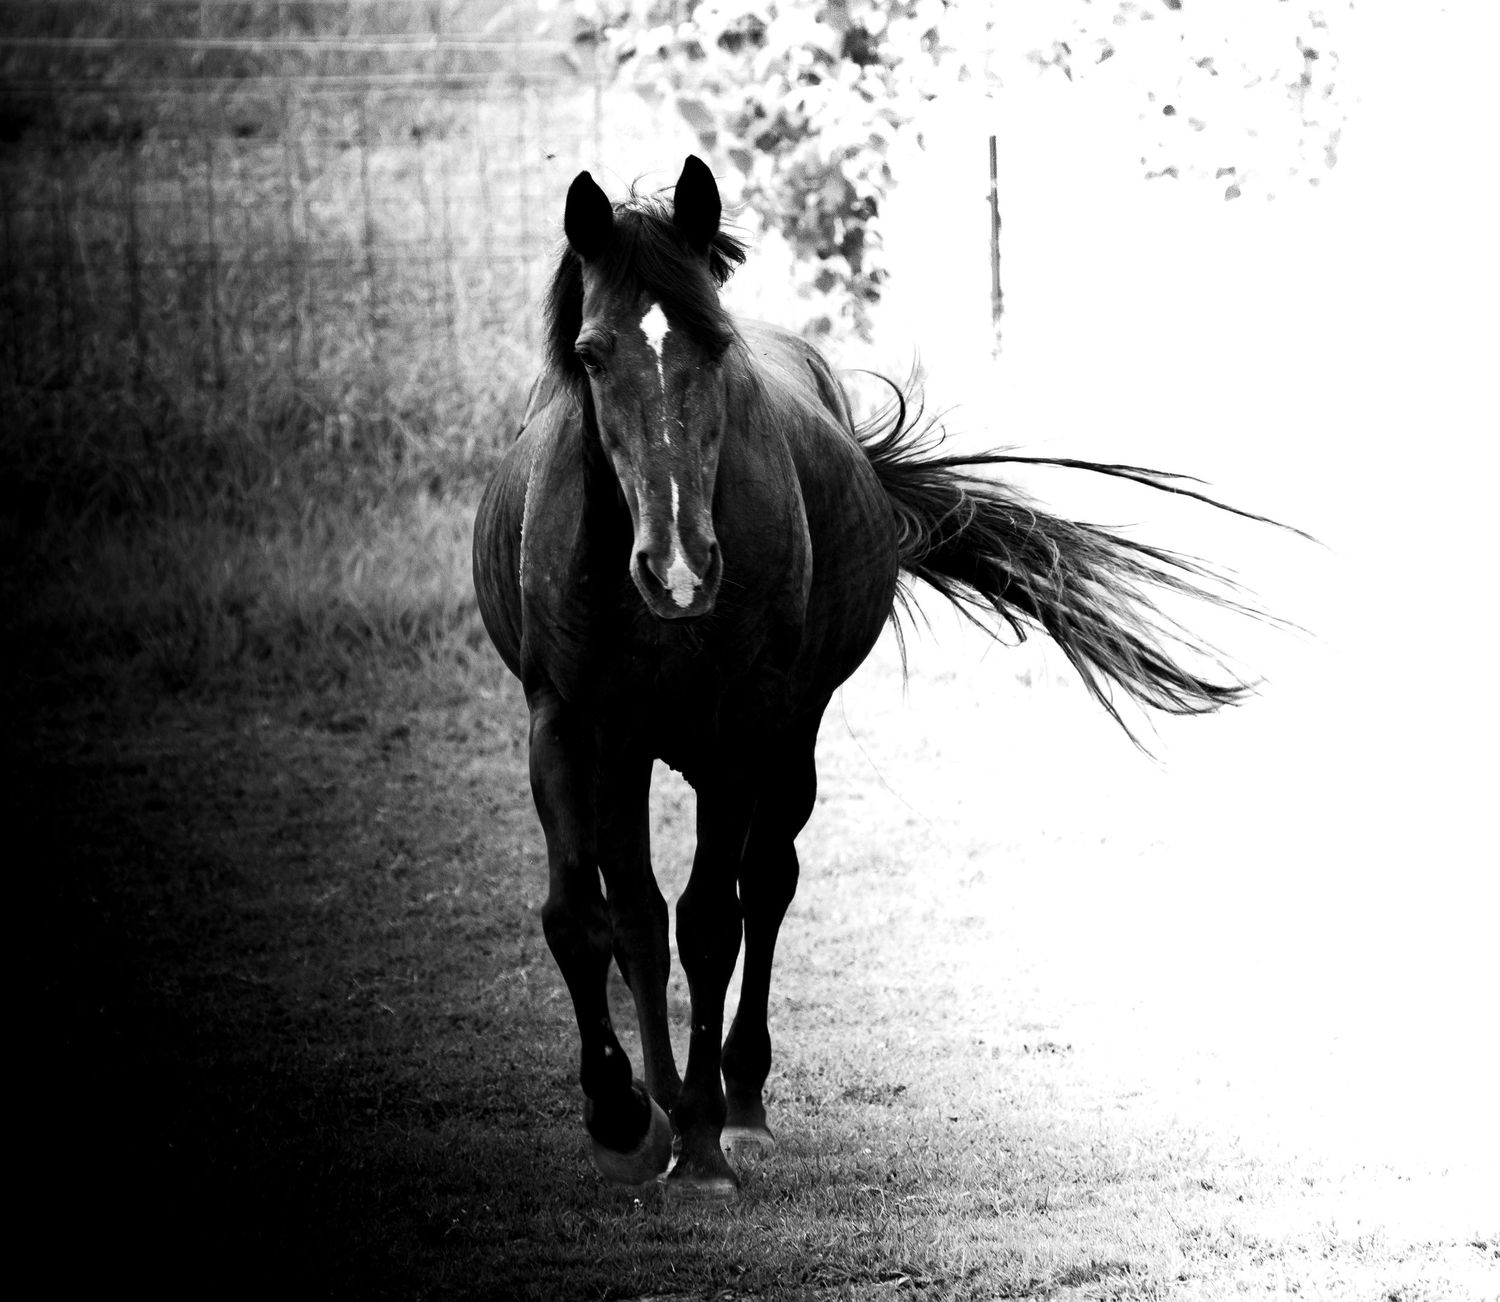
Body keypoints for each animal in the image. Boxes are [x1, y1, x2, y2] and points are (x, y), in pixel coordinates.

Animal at [473, 155, 1291, 1198]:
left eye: (716, 343)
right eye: (590, 352)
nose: (680, 569)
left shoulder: (741, 731)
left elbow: (712, 920)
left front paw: (701, 1146)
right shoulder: (567, 725)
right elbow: (584, 918)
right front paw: (622, 1114)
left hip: (788, 735)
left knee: (761, 886)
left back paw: (734, 1106)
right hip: (630, 753)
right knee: (638, 917)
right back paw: (658, 1106)